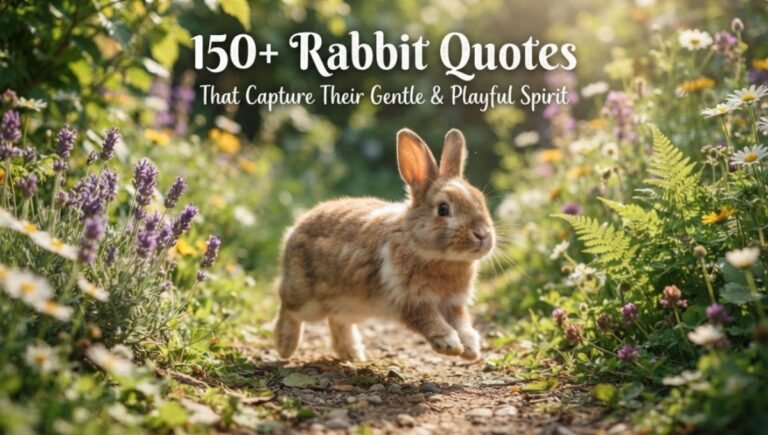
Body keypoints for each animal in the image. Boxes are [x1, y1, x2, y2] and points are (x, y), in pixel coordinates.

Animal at [274, 128, 495, 361]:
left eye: (481, 201)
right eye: (443, 209)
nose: (482, 234)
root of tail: (295, 228)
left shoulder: (454, 303)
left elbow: (462, 323)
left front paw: (471, 350)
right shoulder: (410, 300)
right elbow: (431, 321)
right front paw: (450, 345)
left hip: (351, 307)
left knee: (337, 320)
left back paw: (353, 355)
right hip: (306, 299)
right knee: (288, 309)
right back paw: (285, 346)